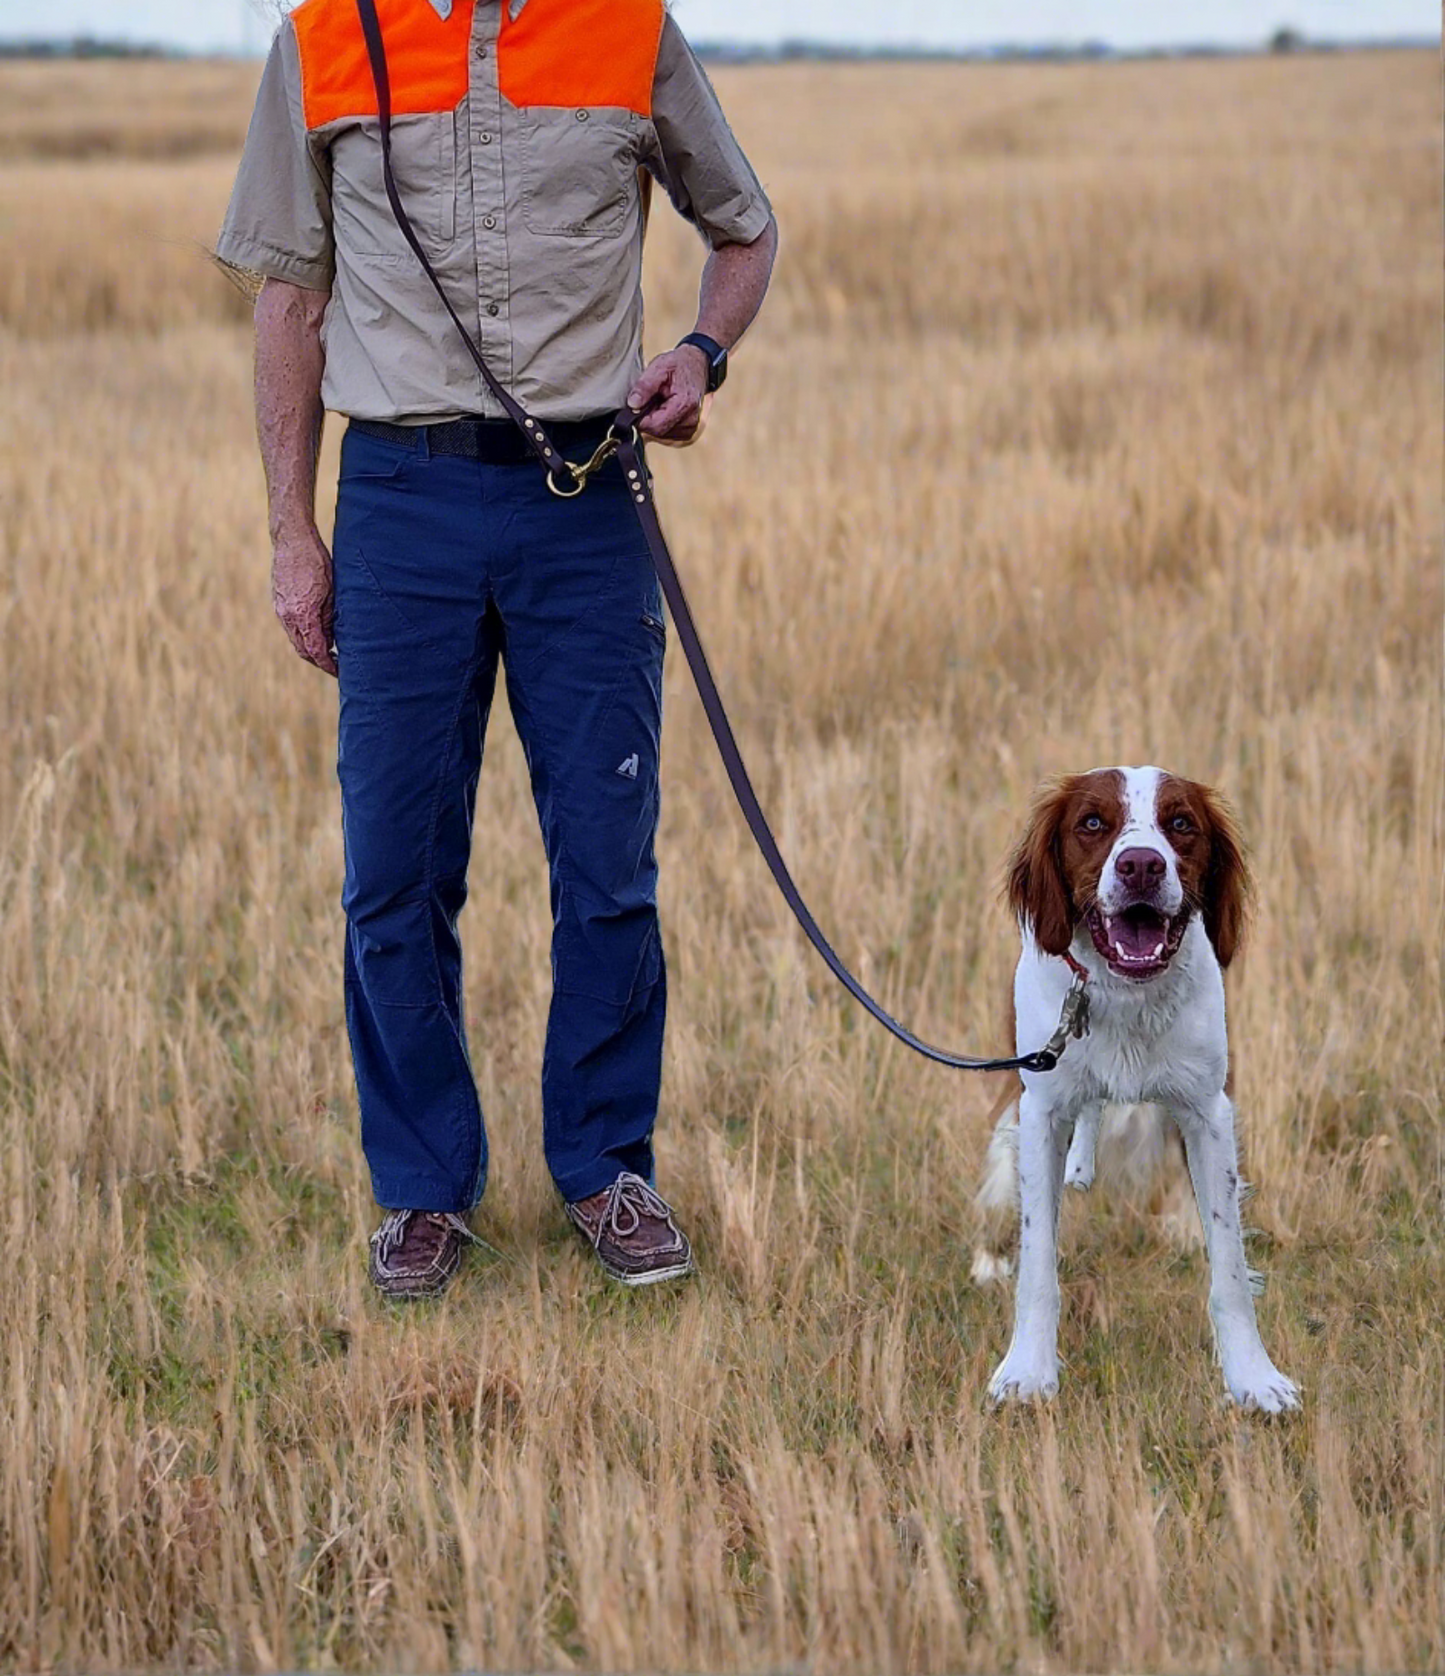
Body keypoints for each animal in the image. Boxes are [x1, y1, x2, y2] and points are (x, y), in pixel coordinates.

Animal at [985, 767, 1300, 1414]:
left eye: (1181, 823)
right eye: (1091, 823)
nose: (1141, 866)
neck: (1126, 994)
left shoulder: (1208, 1111)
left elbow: (1229, 1266)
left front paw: (1253, 1379)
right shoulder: (1041, 1110)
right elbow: (1038, 1263)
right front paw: (1026, 1371)